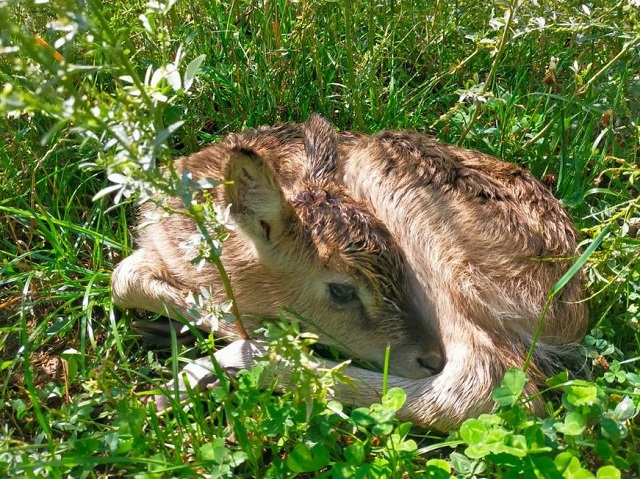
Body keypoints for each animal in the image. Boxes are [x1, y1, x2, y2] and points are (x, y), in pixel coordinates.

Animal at [112, 115, 588, 432]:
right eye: (341, 291)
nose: (427, 357)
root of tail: (572, 311)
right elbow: (123, 278)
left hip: (408, 201)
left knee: (481, 384)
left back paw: (207, 373)